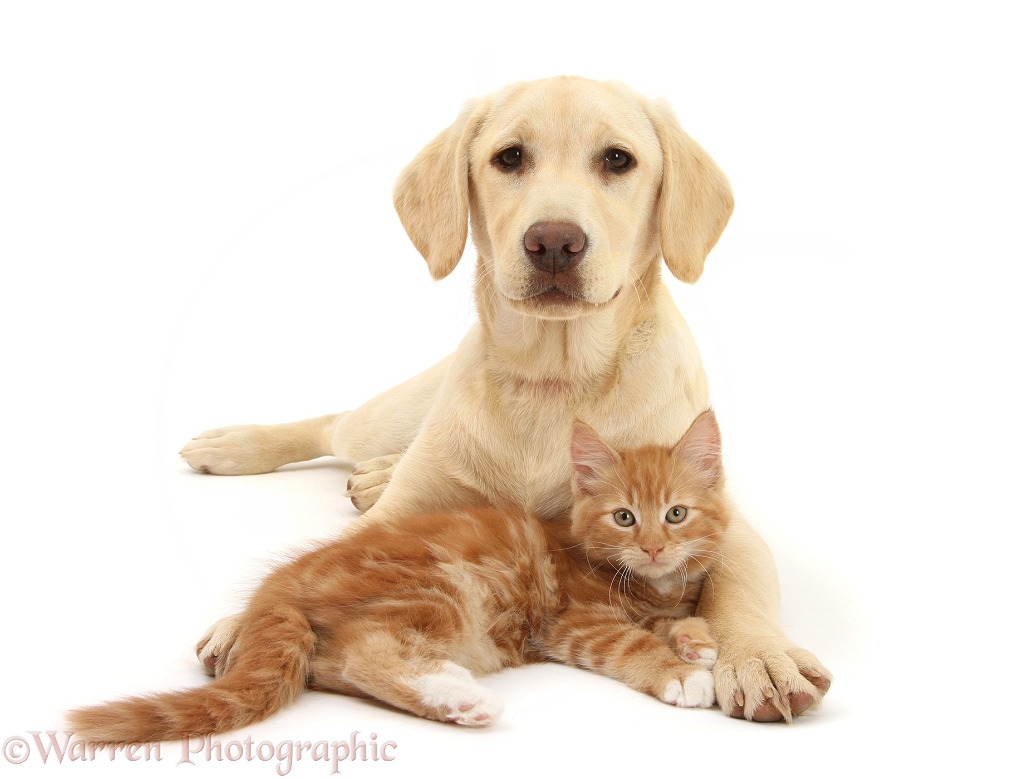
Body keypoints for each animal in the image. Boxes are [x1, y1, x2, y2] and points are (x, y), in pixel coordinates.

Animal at [71, 411, 730, 738]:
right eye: (625, 517)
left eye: (676, 514)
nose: (652, 548)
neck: (646, 585)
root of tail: (280, 584)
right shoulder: (574, 620)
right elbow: (630, 643)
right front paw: (679, 673)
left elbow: (674, 624)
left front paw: (697, 641)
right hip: (442, 589)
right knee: (366, 653)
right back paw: (464, 699)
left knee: (335, 665)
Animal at [185, 76, 831, 722]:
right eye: (510, 157)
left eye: (618, 159)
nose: (554, 242)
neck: (556, 376)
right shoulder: (398, 519)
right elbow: (330, 555)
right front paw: (247, 621)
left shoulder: (727, 523)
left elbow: (737, 590)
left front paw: (757, 657)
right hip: (390, 417)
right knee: (333, 424)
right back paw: (235, 445)